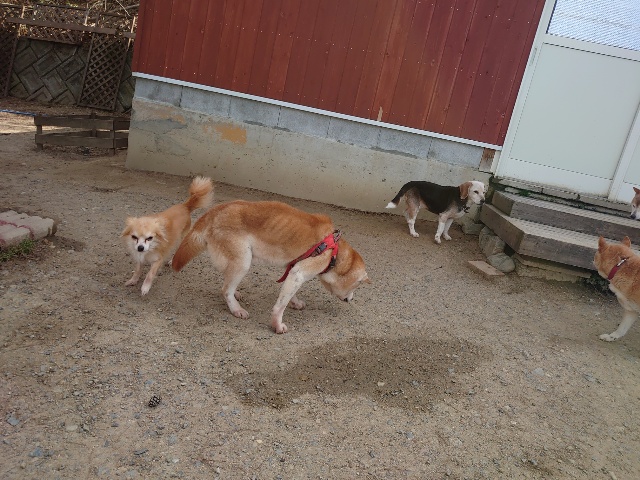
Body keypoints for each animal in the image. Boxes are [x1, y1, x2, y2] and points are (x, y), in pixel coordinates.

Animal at [171, 200, 370, 334]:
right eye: (356, 285)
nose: (351, 299)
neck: (334, 251)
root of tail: (212, 212)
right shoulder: (299, 272)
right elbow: (279, 307)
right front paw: (277, 325)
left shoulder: (293, 270)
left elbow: (289, 294)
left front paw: (295, 302)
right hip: (244, 261)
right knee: (225, 289)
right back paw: (236, 309)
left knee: (226, 281)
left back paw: (236, 293)